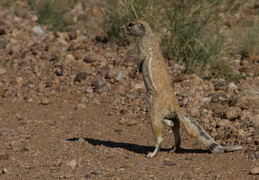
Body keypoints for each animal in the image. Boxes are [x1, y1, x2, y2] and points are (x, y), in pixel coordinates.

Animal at [122, 19, 244, 158]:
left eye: (131, 24)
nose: (122, 28)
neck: (148, 34)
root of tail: (175, 106)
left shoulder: (142, 47)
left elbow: (139, 58)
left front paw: (134, 70)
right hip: (171, 117)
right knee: (175, 128)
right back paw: (173, 147)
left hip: (154, 113)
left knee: (160, 136)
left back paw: (153, 153)